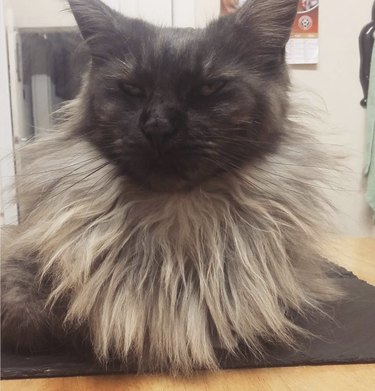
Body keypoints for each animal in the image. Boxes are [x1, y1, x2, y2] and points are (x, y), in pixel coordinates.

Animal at [0, 0, 340, 376]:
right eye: (132, 89)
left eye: (208, 88)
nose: (157, 126)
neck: (174, 223)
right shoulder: (22, 262)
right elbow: (25, 312)